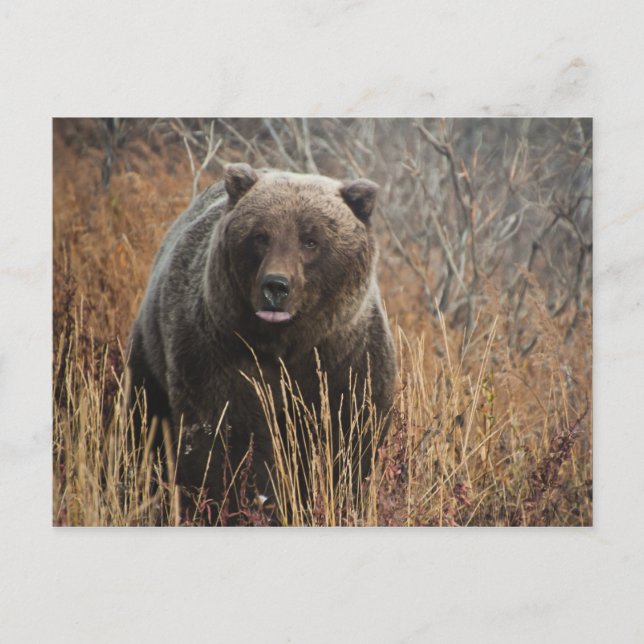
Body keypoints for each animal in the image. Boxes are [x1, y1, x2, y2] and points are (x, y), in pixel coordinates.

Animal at [127, 163, 396, 522]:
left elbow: (348, 440)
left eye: (311, 240)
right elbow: (232, 443)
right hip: (152, 351)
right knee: (143, 421)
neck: (286, 344)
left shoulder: (345, 360)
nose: (276, 286)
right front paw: (258, 505)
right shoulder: (221, 356)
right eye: (260, 236)